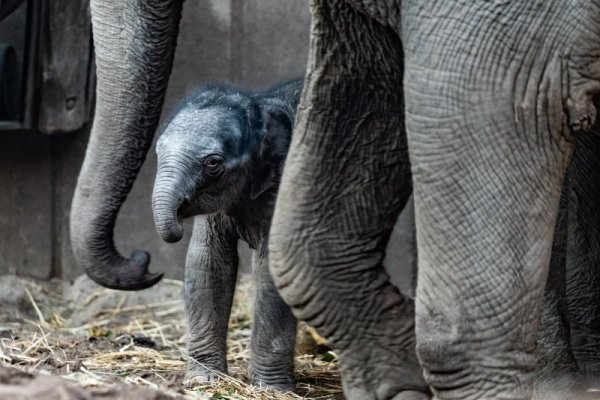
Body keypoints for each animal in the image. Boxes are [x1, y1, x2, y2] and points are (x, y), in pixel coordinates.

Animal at [152, 78, 302, 390]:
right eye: (158, 152)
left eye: (213, 163)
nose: (176, 223)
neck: (261, 107)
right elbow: (208, 262)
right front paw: (204, 380)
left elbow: (272, 268)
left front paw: (271, 389)